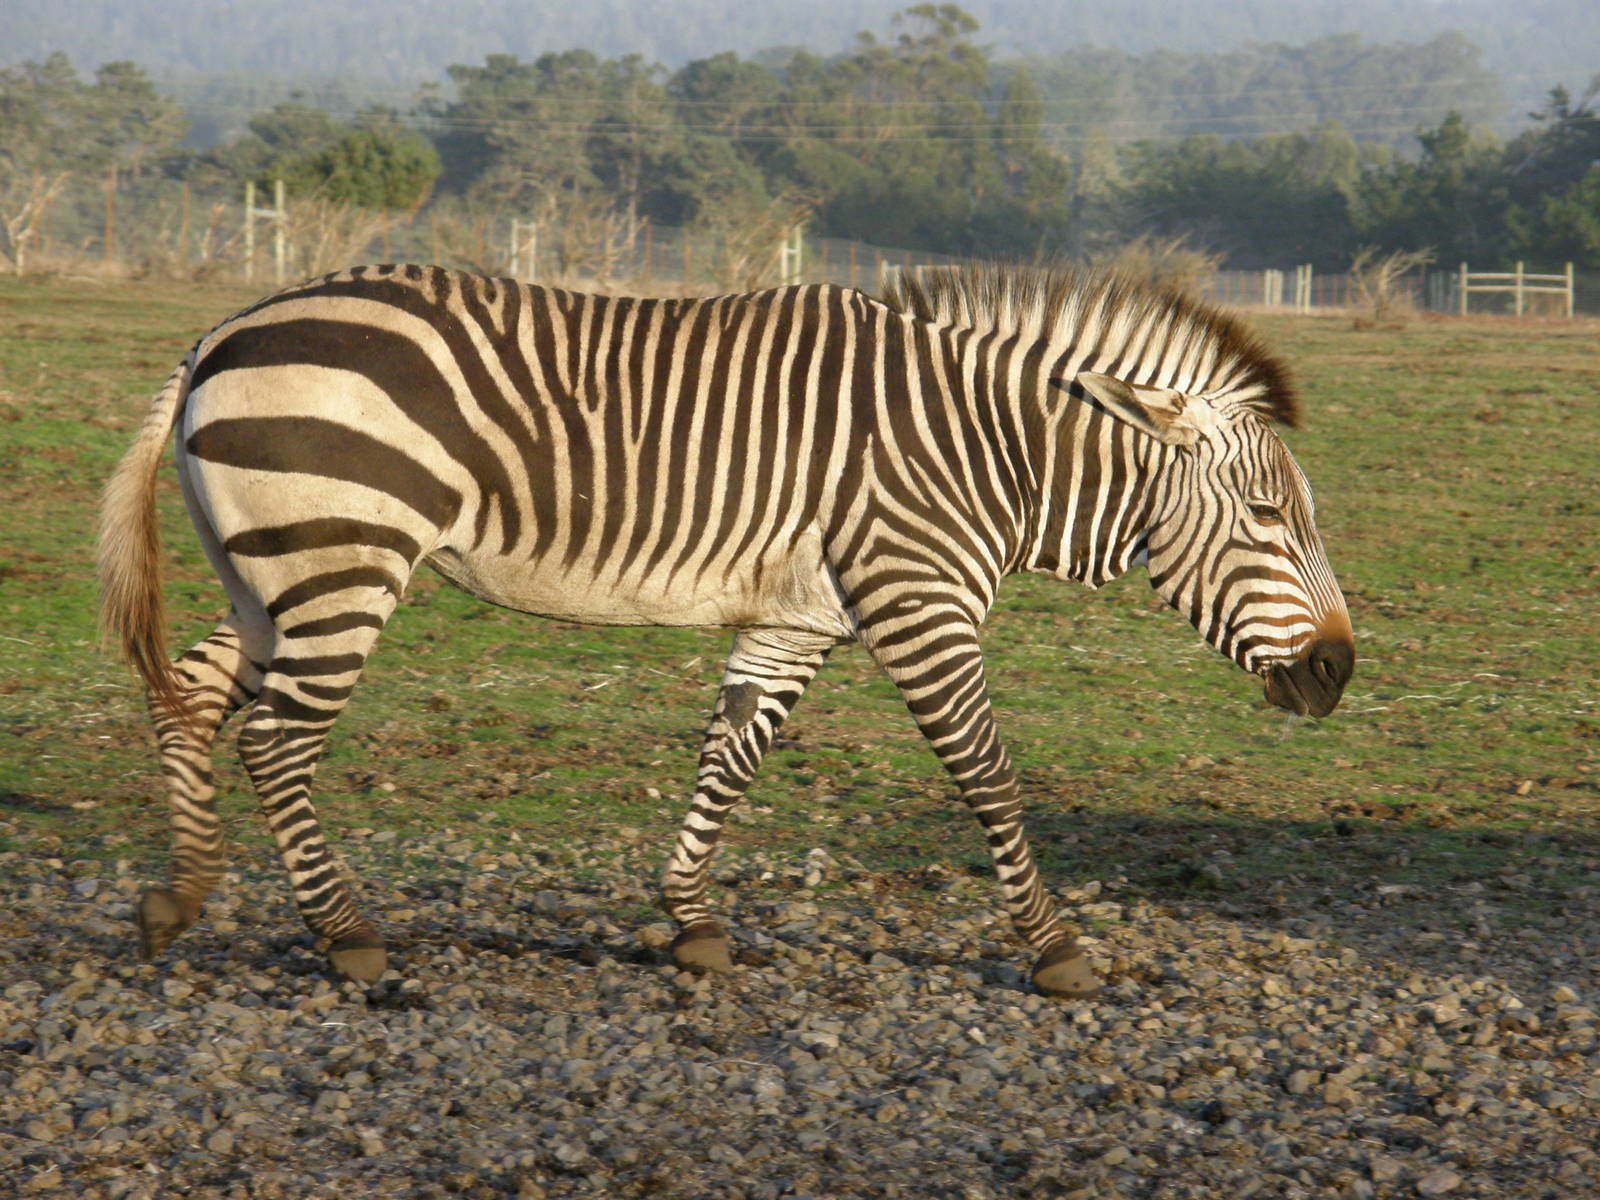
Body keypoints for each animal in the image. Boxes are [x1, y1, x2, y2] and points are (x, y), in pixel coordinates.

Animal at [98, 262, 1353, 998]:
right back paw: (346, 935)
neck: (987, 451)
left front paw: (691, 920)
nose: (1337, 673)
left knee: (194, 694)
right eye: (1268, 517)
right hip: (341, 559)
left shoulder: (797, 619)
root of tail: (220, 332)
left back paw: (180, 898)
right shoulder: (918, 600)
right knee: (277, 741)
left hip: (275, 567)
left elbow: (730, 756)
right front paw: (1055, 951)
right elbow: (988, 776)